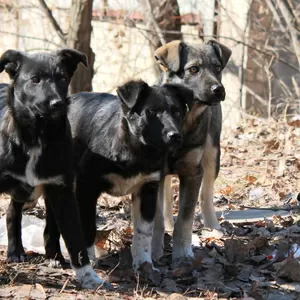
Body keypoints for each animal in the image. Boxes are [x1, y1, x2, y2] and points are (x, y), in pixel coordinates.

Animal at [0, 48, 103, 288]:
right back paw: (16, 251)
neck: (36, 137)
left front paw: (89, 277)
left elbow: (74, 237)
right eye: (35, 79)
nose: (58, 103)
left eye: (63, 78)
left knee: (41, 222)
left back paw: (52, 255)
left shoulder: (61, 188)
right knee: (14, 211)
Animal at [152, 39, 232, 262]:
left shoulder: (193, 171)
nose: (218, 89)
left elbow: (185, 219)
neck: (183, 118)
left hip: (212, 154)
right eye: (193, 69)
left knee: (206, 195)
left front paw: (182, 253)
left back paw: (213, 227)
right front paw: (154, 250)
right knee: (167, 196)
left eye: (218, 68)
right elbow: (157, 218)